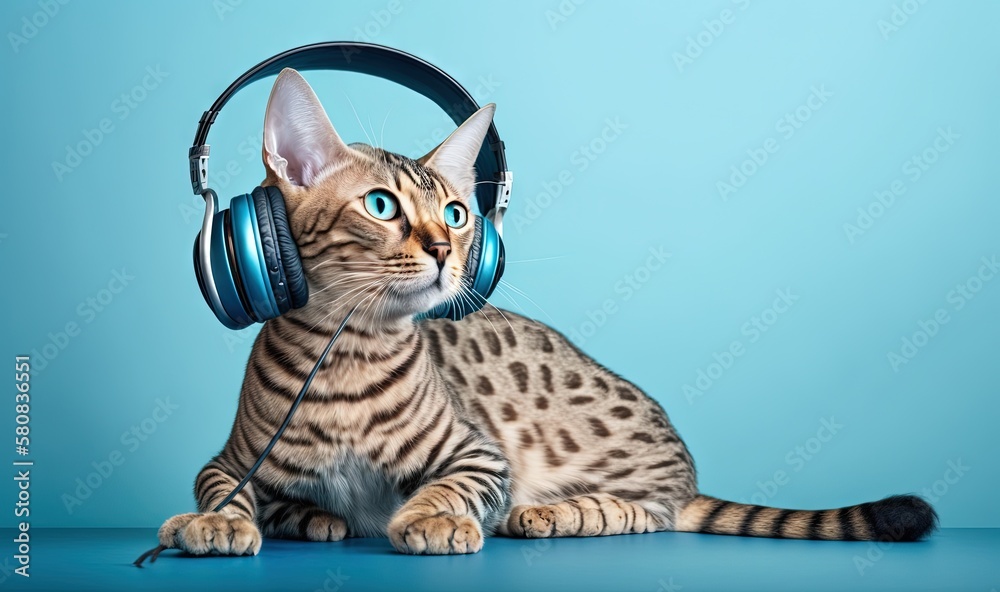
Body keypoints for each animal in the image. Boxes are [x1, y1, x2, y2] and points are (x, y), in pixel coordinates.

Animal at [158, 69, 936, 556]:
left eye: (456, 212)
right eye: (381, 206)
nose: (443, 248)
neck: (348, 351)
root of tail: (681, 464)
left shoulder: (480, 456)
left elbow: (447, 488)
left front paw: (436, 521)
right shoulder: (231, 461)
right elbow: (224, 491)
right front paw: (221, 522)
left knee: (650, 511)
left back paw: (553, 512)